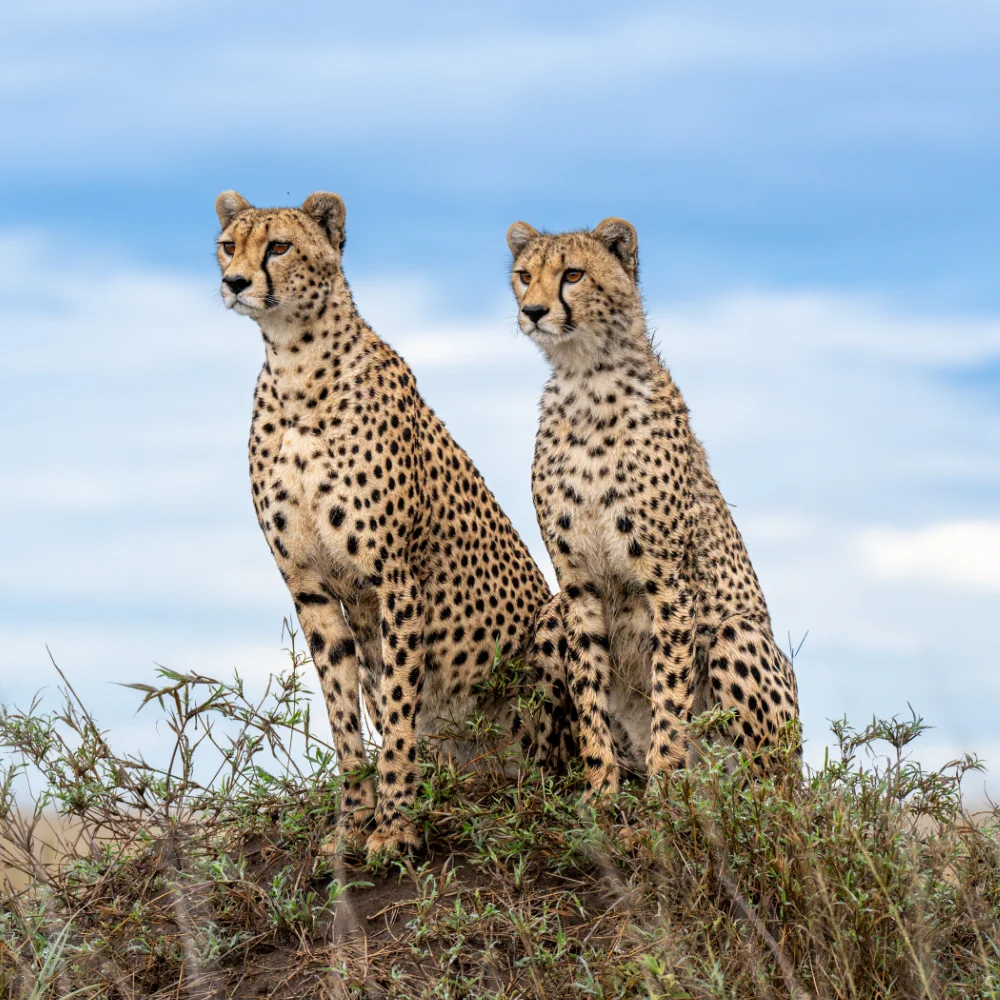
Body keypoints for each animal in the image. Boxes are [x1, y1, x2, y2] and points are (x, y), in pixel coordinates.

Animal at [214, 190, 552, 854]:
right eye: (228, 244)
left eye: (279, 245)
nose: (235, 281)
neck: (296, 368)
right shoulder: (311, 588)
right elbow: (344, 713)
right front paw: (351, 824)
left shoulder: (393, 579)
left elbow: (397, 707)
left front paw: (395, 826)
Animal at [507, 217, 800, 796]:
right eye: (525, 275)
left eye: (573, 274)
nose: (533, 311)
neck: (586, 381)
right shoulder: (576, 583)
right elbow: (589, 691)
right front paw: (600, 791)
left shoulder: (668, 582)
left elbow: (670, 692)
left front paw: (665, 790)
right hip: (551, 614)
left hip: (740, 640)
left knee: (773, 790)